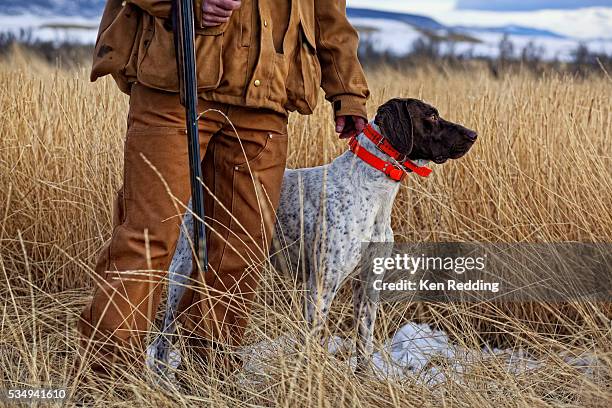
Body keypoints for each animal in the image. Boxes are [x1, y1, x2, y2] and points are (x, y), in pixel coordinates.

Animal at [149, 98, 478, 372]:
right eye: (431, 116)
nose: (473, 134)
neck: (373, 191)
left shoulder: (368, 285)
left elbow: (364, 342)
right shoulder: (321, 285)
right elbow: (313, 342)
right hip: (181, 272)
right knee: (164, 339)